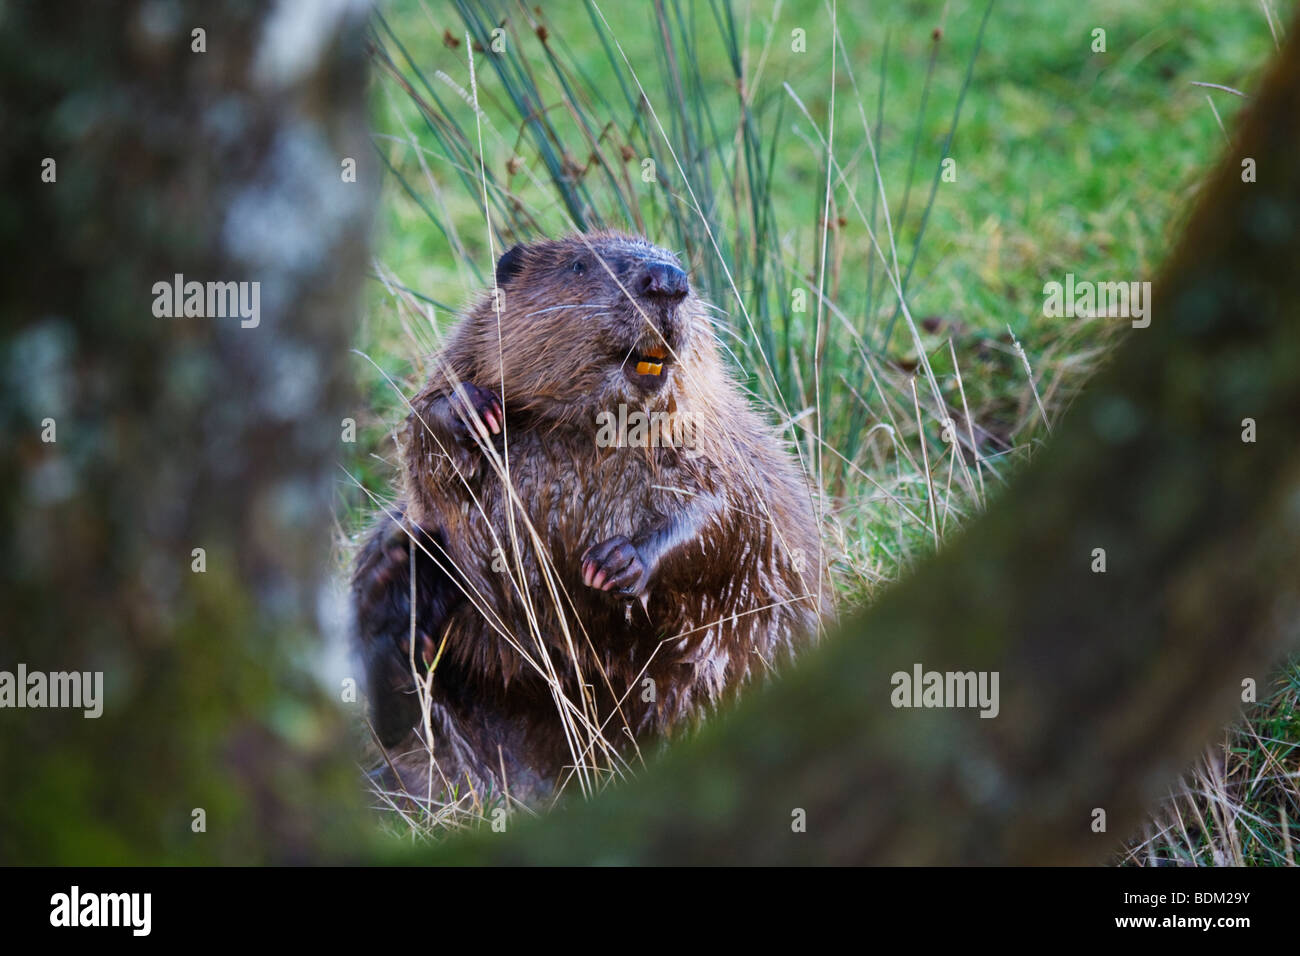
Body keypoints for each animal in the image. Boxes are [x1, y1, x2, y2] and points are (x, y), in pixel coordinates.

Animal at [351, 231, 826, 806]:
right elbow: (425, 448)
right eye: (580, 265)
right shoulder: (463, 363)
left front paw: (614, 564)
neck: (593, 429)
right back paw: (396, 587)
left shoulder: (715, 436)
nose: (668, 281)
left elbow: (724, 511)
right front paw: (470, 410)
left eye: (677, 263)